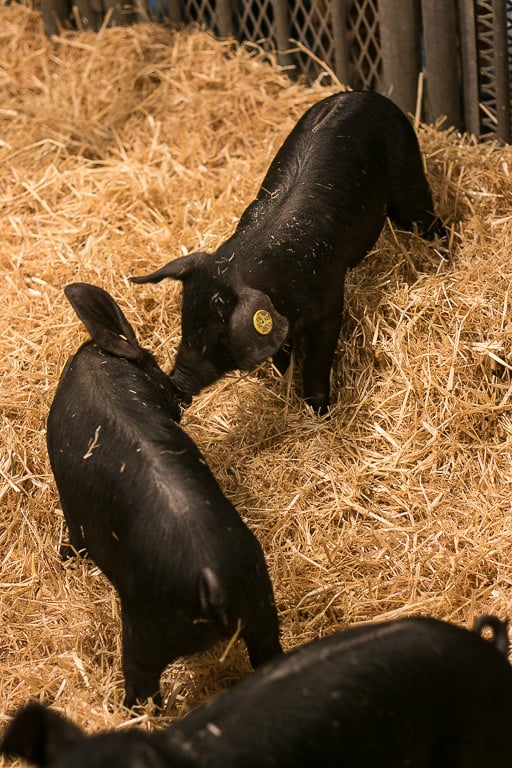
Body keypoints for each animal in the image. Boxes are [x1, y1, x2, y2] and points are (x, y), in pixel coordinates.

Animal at [46, 282, 282, 708]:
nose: (179, 392)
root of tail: (213, 582)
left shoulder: (73, 512)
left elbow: (74, 542)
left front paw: (64, 560)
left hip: (146, 629)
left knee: (142, 689)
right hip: (262, 609)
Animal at [130, 91, 442, 414]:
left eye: (221, 335)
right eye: (185, 321)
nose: (176, 383)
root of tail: (370, 95)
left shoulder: (331, 305)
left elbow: (317, 363)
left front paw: (319, 410)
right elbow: (282, 350)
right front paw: (284, 379)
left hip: (410, 180)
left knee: (426, 216)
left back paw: (442, 249)